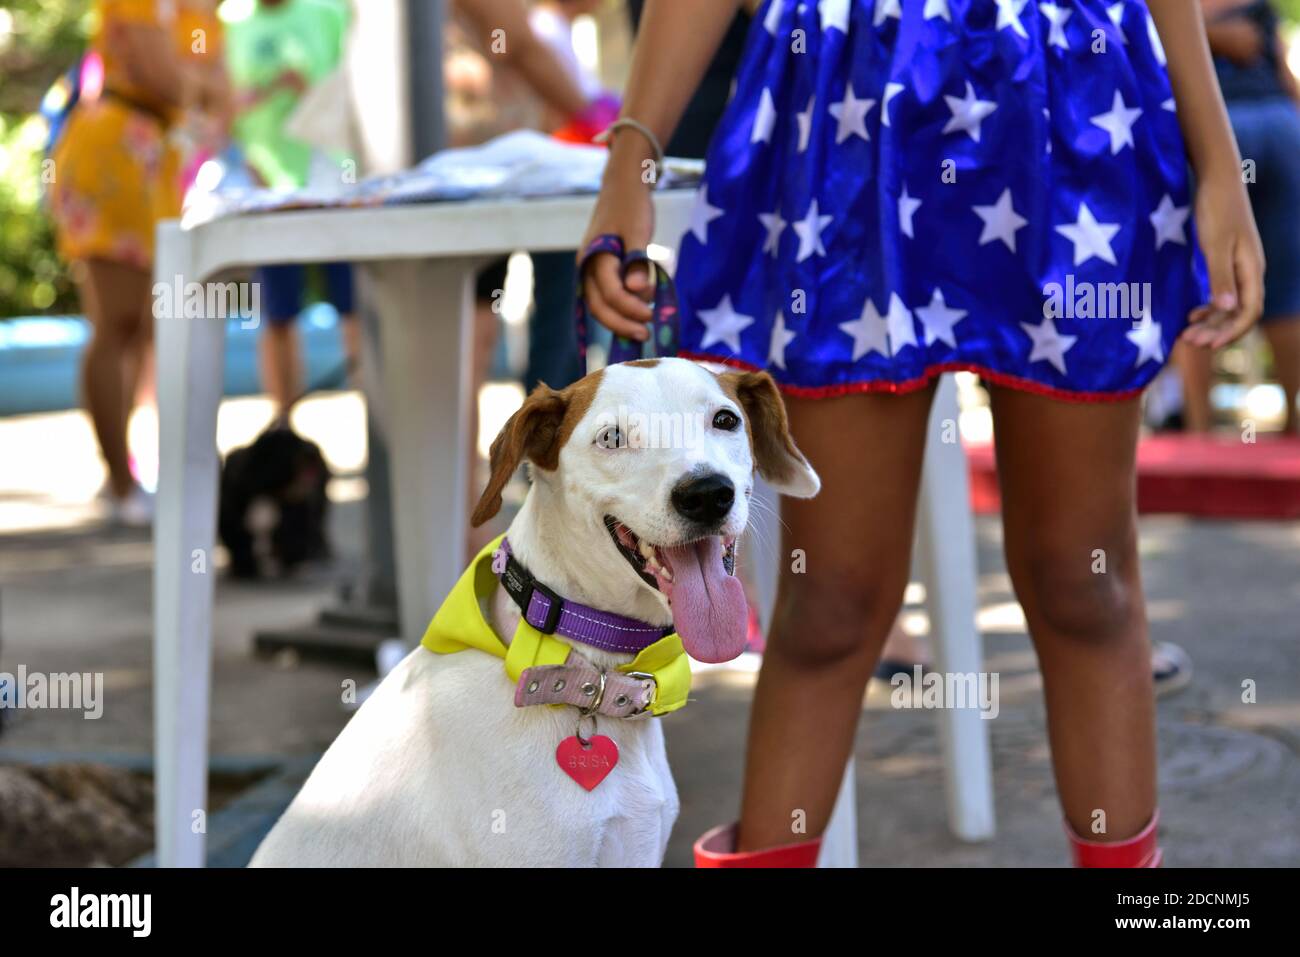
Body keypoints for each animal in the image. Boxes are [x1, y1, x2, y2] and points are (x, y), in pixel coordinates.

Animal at [218, 429, 330, 579]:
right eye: (291, 443)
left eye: (300, 439)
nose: (314, 449)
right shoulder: (236, 484)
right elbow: (232, 522)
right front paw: (245, 565)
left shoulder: (296, 499)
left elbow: (296, 524)